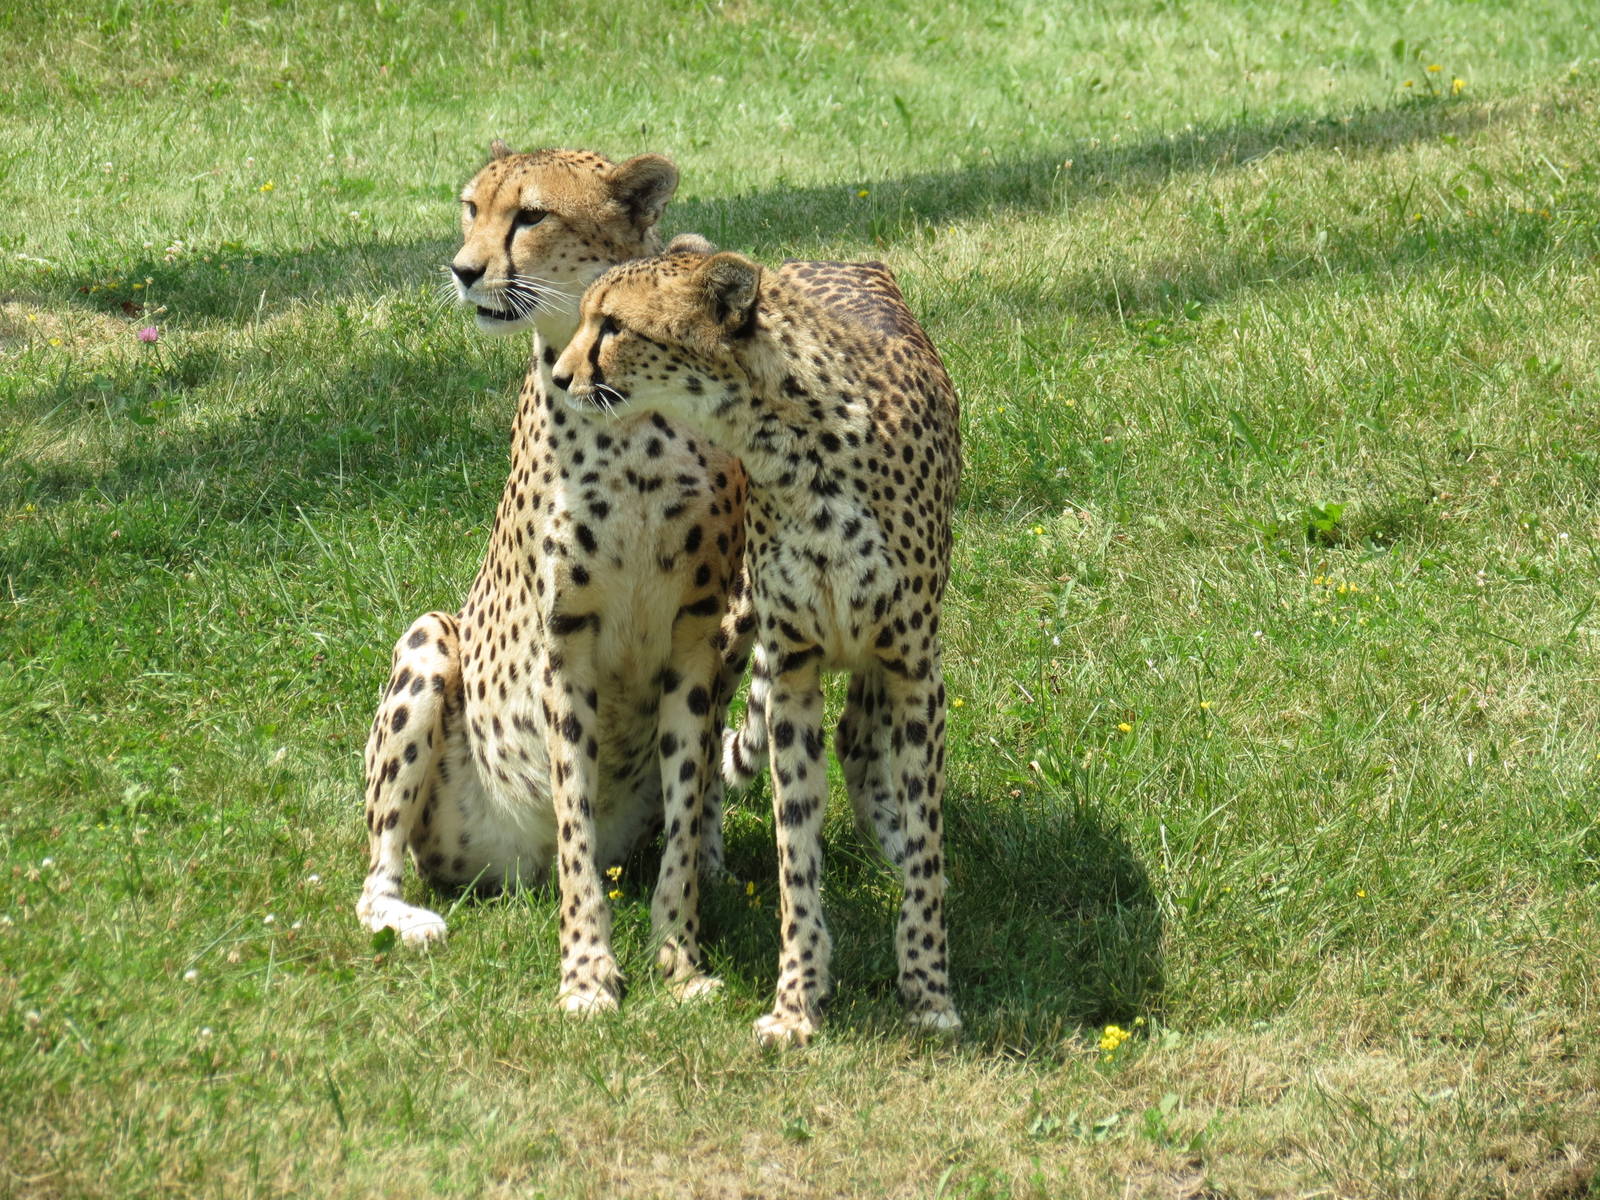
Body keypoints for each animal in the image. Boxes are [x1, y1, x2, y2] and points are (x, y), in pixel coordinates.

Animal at [355, 143, 750, 1014]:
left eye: (531, 216)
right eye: (471, 208)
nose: (464, 270)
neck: (629, 414)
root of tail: (514, 869)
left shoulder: (698, 637)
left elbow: (684, 803)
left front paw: (681, 957)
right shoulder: (565, 645)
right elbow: (575, 820)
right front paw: (587, 971)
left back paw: (717, 864)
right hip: (430, 640)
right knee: (377, 874)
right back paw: (407, 918)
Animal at [553, 245, 963, 1045]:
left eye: (612, 325)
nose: (559, 375)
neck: (796, 445)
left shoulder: (911, 666)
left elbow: (928, 851)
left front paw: (928, 991)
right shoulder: (793, 669)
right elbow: (793, 855)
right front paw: (797, 1001)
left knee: (861, 736)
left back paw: (889, 842)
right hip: (734, 622)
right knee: (709, 741)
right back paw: (706, 863)